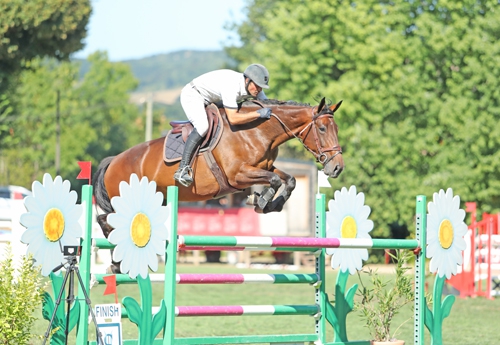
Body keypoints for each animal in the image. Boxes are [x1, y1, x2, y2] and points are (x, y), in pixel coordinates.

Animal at [93, 97, 344, 235]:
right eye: (322, 129)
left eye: (336, 128)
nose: (337, 168)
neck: (257, 132)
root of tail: (113, 160)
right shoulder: (237, 176)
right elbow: (273, 180)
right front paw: (261, 201)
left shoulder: (265, 167)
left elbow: (288, 179)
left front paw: (271, 204)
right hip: (123, 199)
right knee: (106, 220)